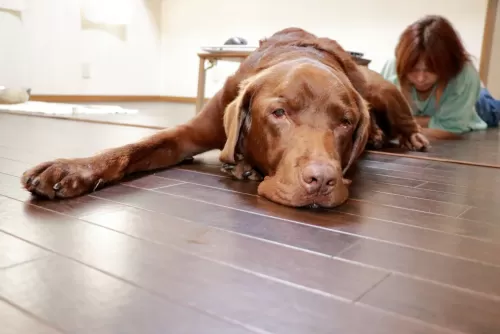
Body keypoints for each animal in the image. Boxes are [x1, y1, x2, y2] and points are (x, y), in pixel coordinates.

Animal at [19, 26, 428, 209]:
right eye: (279, 113)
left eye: (344, 122)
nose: (323, 181)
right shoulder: (189, 133)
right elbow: (135, 147)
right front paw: (69, 168)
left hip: (383, 91)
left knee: (403, 118)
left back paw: (410, 137)